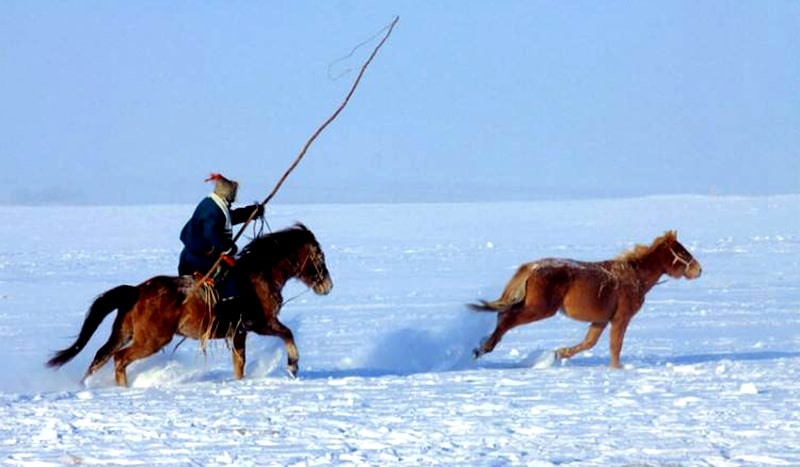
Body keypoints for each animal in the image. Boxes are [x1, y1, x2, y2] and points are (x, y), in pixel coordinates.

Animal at [45, 224, 332, 388]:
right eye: (319, 256)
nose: (327, 286)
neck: (260, 274)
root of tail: (137, 290)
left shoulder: (238, 332)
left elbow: (239, 363)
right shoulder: (261, 323)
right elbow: (287, 334)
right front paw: (293, 366)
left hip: (123, 332)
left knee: (100, 356)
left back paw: (85, 384)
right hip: (152, 339)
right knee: (119, 358)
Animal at [472, 230, 704, 370]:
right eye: (683, 252)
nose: (699, 270)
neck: (635, 277)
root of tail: (532, 267)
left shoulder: (601, 320)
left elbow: (589, 343)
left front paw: (559, 353)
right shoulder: (621, 318)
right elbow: (615, 345)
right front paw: (617, 369)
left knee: (503, 314)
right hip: (540, 309)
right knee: (508, 318)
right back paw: (483, 348)